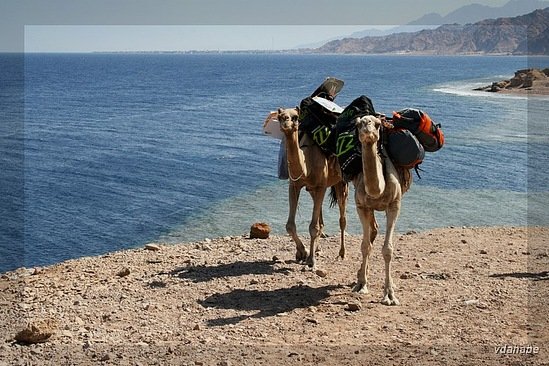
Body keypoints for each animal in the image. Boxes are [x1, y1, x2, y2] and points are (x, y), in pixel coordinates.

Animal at [276, 107, 348, 270]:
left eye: (296, 117)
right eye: (280, 116)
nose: (285, 123)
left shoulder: (321, 185)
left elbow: (313, 227)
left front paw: (311, 260)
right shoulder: (294, 185)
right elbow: (290, 225)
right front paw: (302, 252)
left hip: (341, 182)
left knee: (342, 218)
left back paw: (342, 253)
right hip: (313, 190)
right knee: (321, 221)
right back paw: (317, 249)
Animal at [352, 115, 412, 306]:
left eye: (377, 125)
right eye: (358, 124)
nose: (367, 130)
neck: (378, 190)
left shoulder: (394, 205)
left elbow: (388, 250)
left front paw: (390, 295)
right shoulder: (361, 205)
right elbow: (365, 246)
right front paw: (362, 285)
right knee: (372, 231)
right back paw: (361, 275)